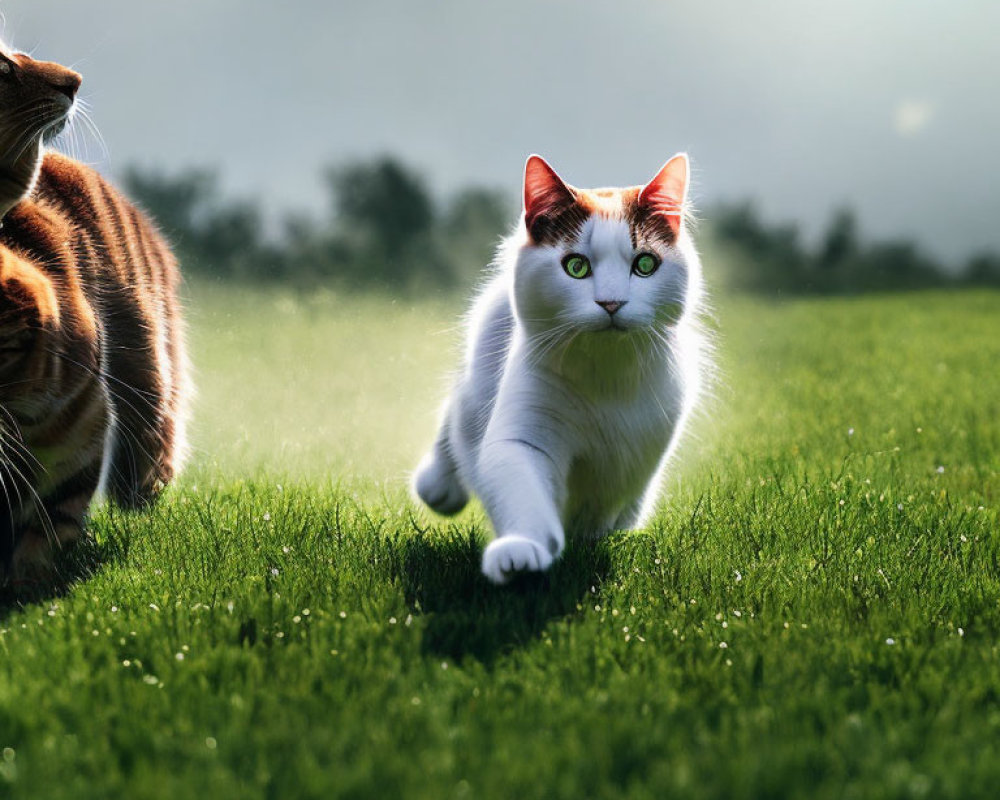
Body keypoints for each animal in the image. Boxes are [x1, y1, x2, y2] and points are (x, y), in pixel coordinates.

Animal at [412, 155, 704, 580]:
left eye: (645, 264)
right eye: (576, 267)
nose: (611, 303)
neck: (604, 375)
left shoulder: (636, 450)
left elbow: (601, 505)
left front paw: (584, 539)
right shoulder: (523, 436)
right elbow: (526, 500)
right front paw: (520, 553)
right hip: (479, 381)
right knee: (457, 413)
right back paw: (438, 485)